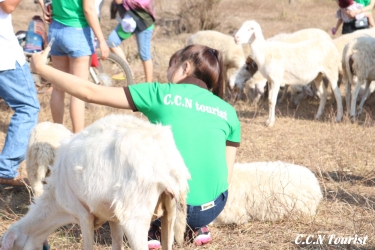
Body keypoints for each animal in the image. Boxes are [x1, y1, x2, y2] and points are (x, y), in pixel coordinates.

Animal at [0, 114, 191, 250]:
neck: (56, 205)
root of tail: (166, 162)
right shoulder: (113, 216)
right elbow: (117, 244)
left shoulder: (82, 214)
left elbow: (88, 246)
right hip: (170, 209)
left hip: (135, 214)